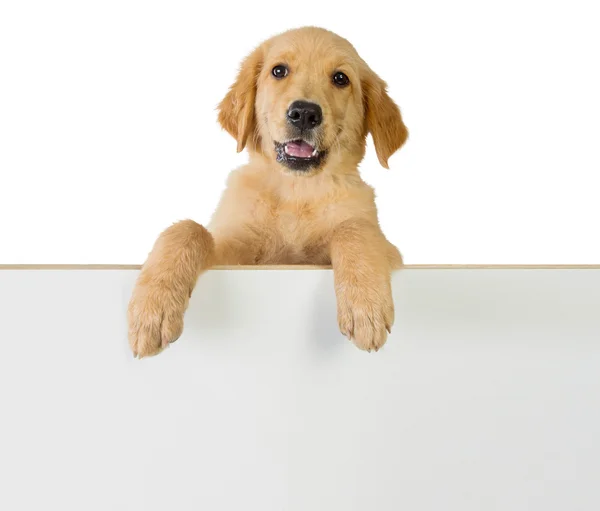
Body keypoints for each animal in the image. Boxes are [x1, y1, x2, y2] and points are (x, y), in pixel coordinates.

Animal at [126, 26, 408, 358]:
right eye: (279, 71)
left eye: (341, 78)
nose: (304, 113)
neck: (296, 192)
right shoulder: (234, 255)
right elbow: (188, 229)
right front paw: (151, 310)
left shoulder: (388, 250)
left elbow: (353, 229)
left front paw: (365, 308)